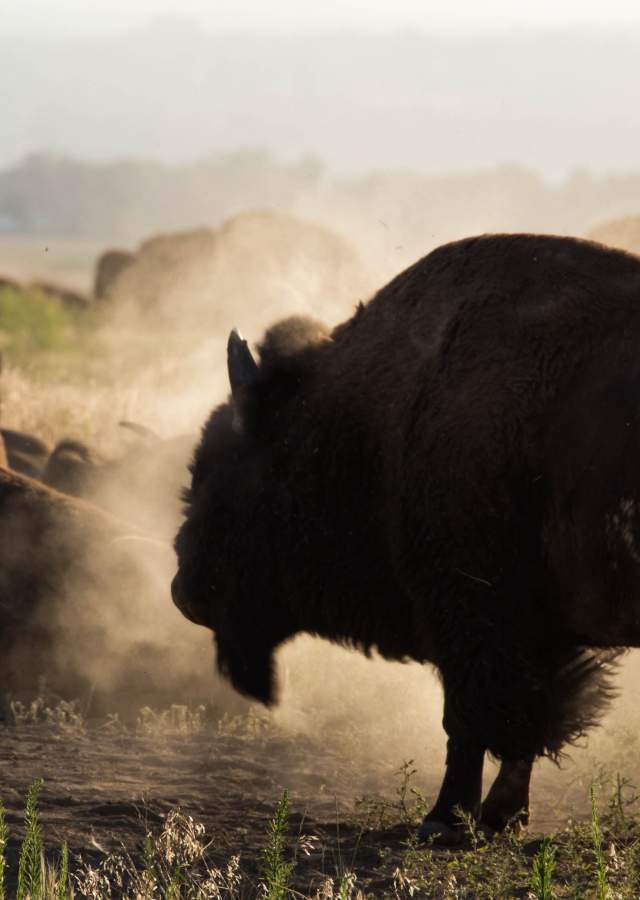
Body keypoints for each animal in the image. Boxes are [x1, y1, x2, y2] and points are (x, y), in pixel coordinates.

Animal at [172, 233, 640, 842]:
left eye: (222, 470)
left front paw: (444, 822)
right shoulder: (532, 633)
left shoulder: (474, 616)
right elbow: (523, 725)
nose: (183, 589)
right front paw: (501, 818)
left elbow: (471, 721)